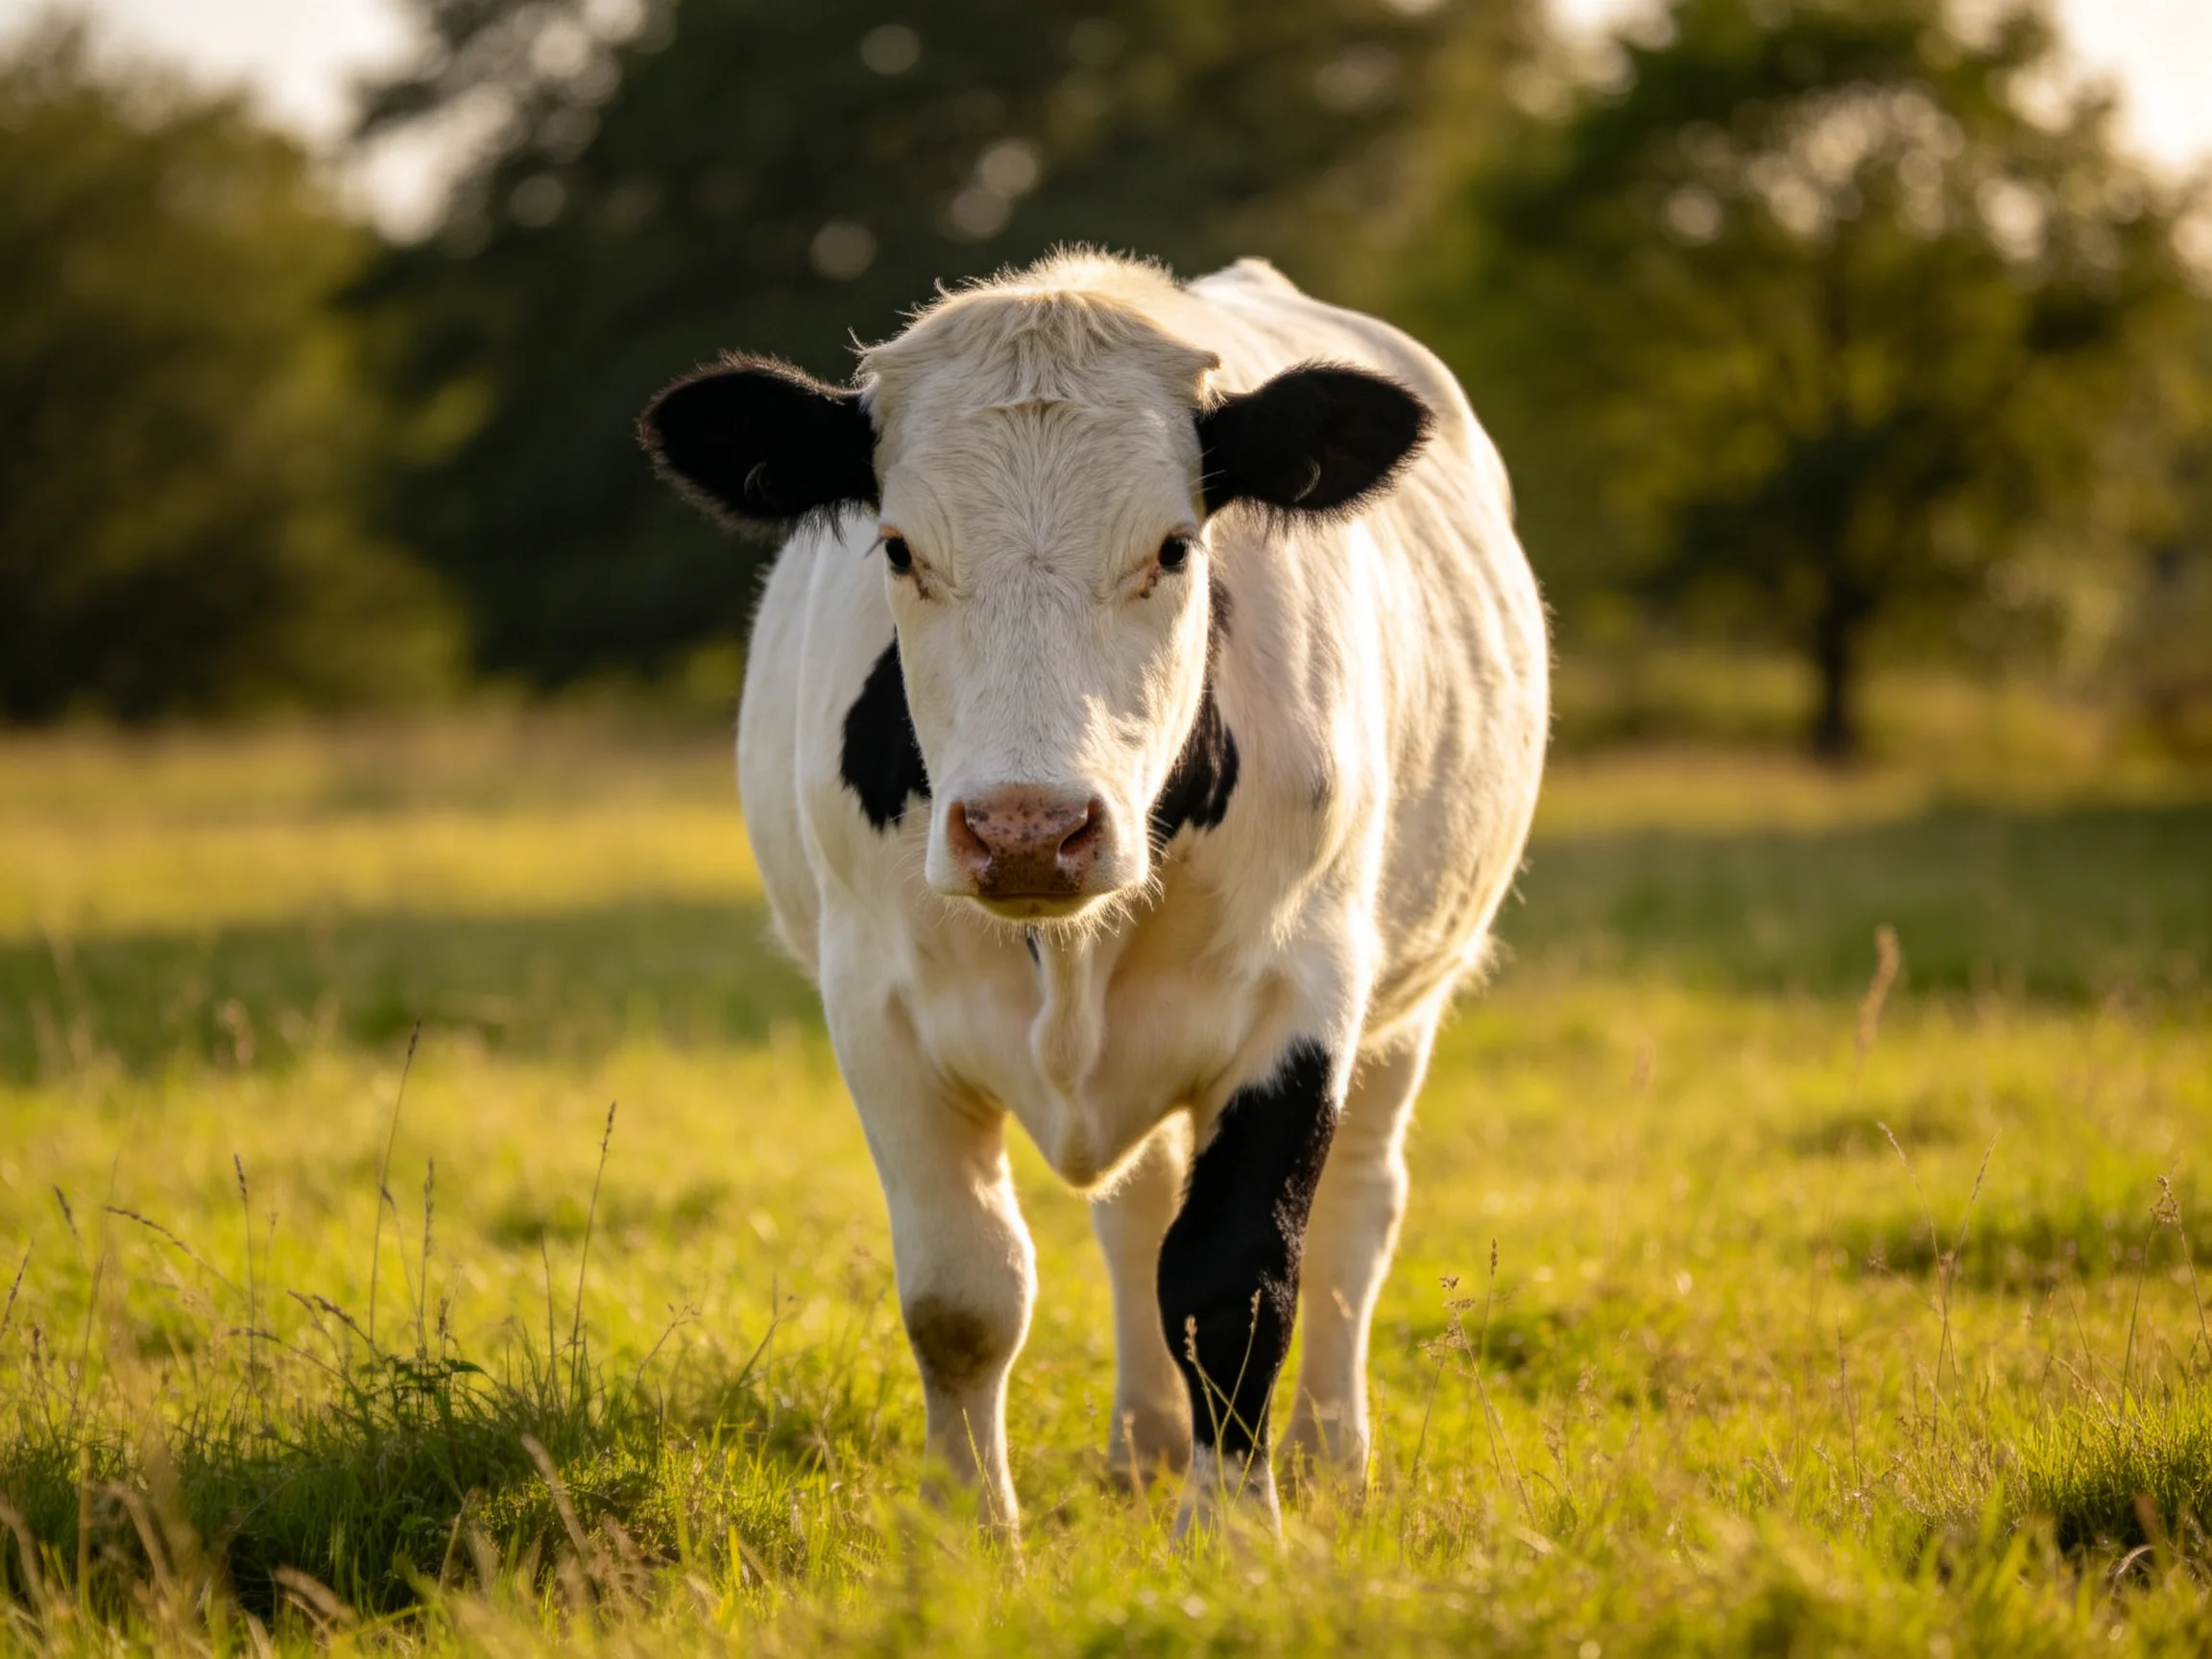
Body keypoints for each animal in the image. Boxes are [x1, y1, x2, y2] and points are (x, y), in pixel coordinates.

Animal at [639, 251, 1548, 1539]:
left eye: (1173, 547)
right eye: (899, 549)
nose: (1028, 831)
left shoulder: (1303, 1000)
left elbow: (1234, 1284)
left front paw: (1232, 1533)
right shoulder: (876, 1012)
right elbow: (965, 1292)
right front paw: (969, 1530)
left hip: (1409, 998)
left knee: (1357, 1218)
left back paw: (1331, 1455)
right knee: (1135, 1212)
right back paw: (1143, 1446)